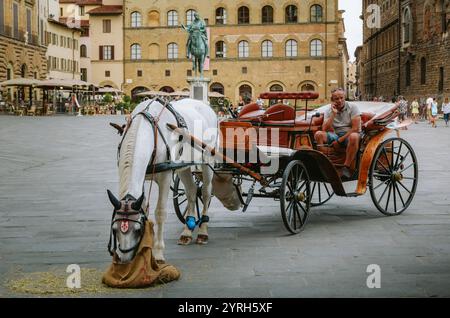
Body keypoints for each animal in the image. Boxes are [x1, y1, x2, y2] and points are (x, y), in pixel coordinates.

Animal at [106, 99, 217, 264]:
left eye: (137, 230)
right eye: (115, 229)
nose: (125, 260)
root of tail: (204, 104)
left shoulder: (165, 176)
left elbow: (160, 212)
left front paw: (158, 253)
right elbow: (144, 209)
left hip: (208, 159)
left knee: (206, 192)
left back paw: (203, 231)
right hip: (182, 165)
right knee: (191, 191)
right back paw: (187, 232)